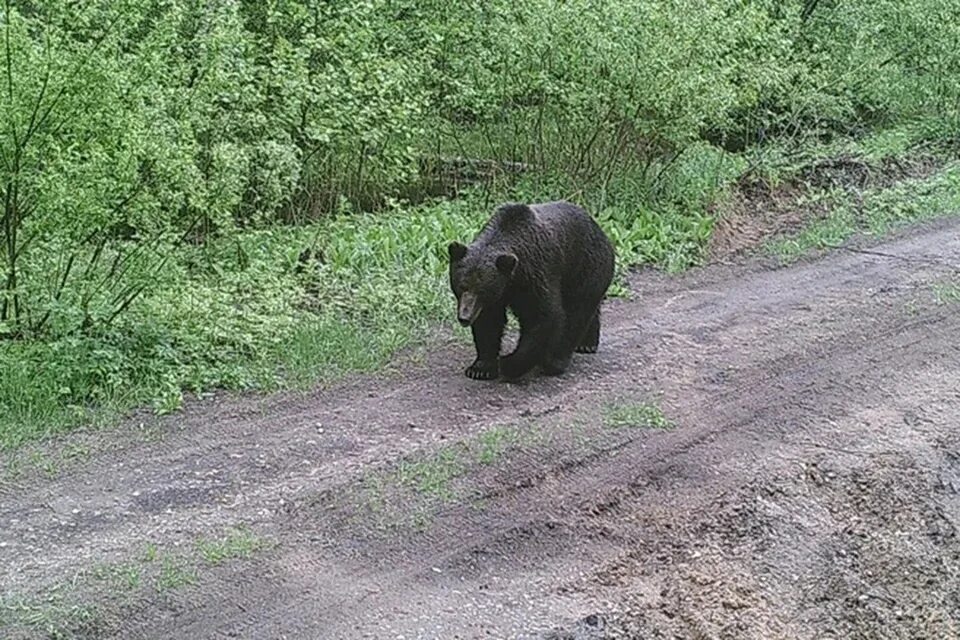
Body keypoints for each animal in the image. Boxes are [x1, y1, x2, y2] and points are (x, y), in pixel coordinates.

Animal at [444, 200, 612, 380]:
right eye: (462, 286)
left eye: (482, 290)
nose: (464, 317)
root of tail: (600, 230)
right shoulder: (496, 295)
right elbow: (489, 322)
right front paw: (480, 368)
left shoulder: (535, 275)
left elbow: (543, 316)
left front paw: (509, 364)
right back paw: (587, 344)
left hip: (585, 267)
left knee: (577, 312)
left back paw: (557, 360)